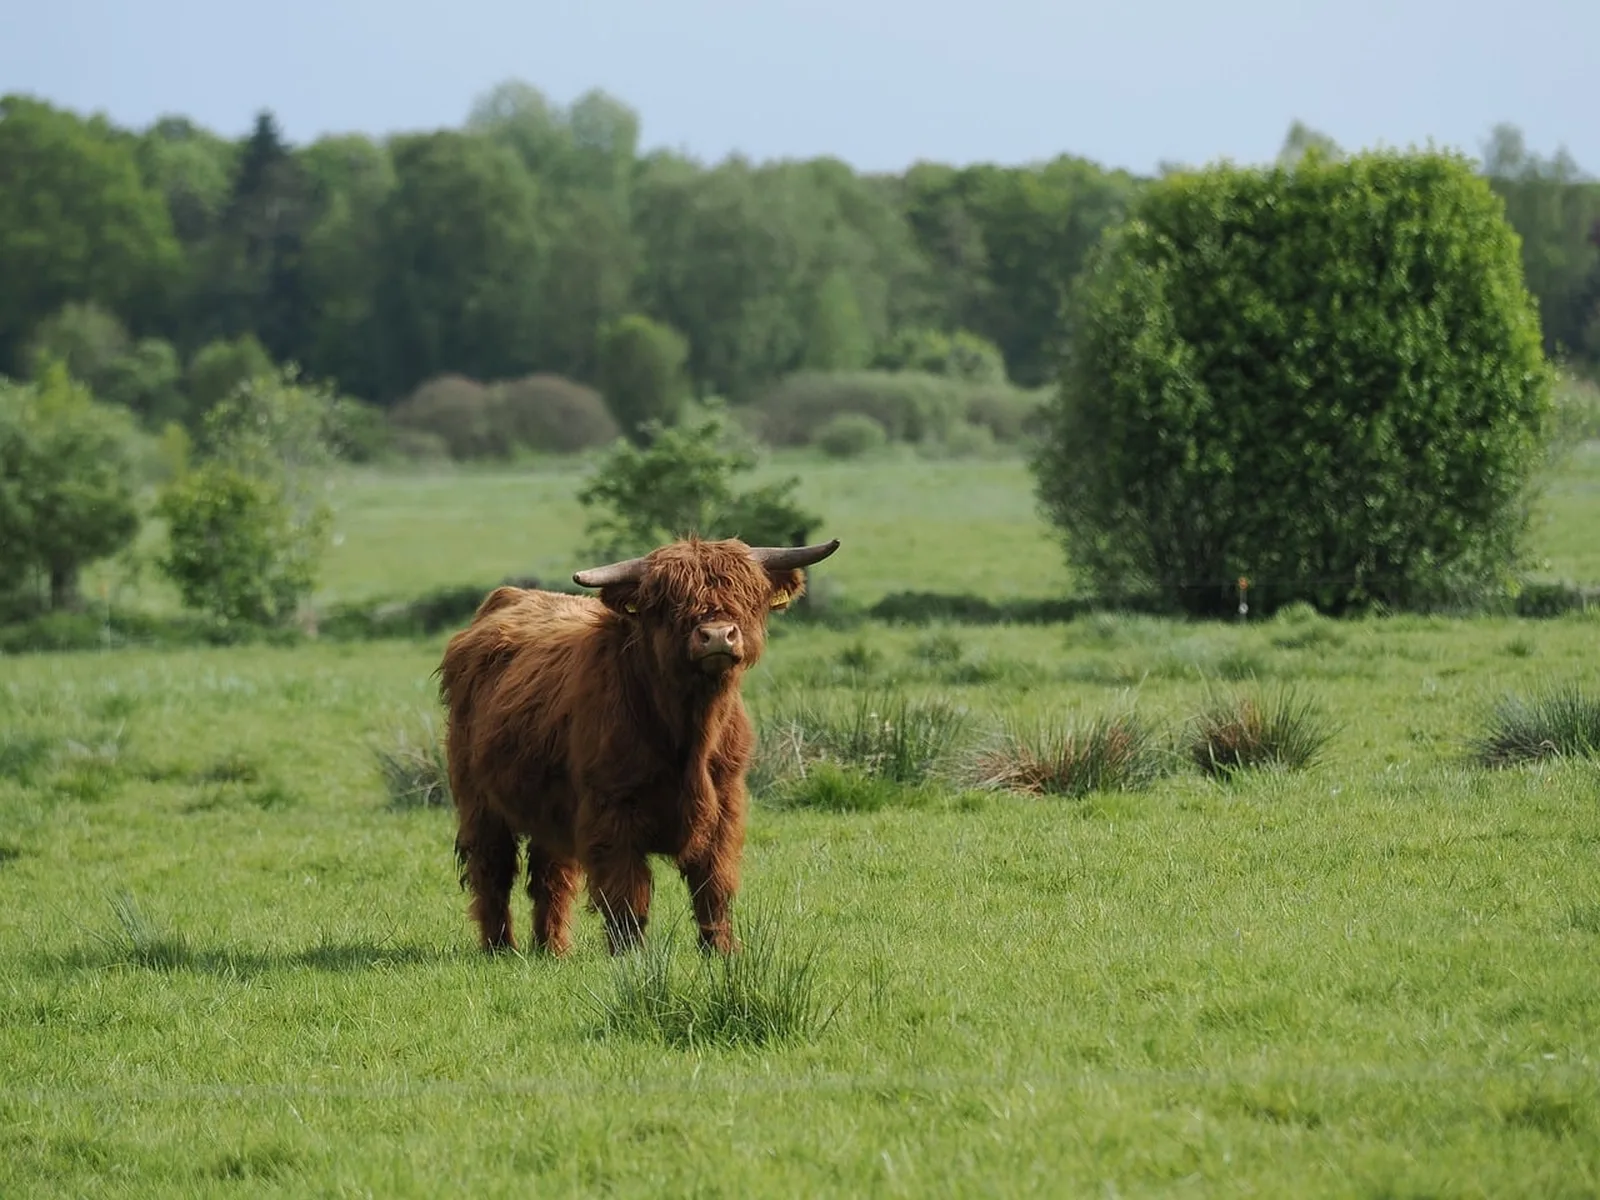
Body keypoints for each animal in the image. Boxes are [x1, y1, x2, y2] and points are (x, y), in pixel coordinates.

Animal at [437, 535, 841, 956]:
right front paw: (630, 954)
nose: (716, 636)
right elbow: (627, 891)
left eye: (745, 592)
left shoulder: (725, 804)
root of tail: (507, 599)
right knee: (492, 870)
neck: (690, 729)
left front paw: (722, 948)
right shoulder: (612, 810)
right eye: (669, 601)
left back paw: (553, 948)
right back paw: (499, 946)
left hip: (550, 805)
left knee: (552, 874)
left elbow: (713, 884)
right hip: (479, 802)